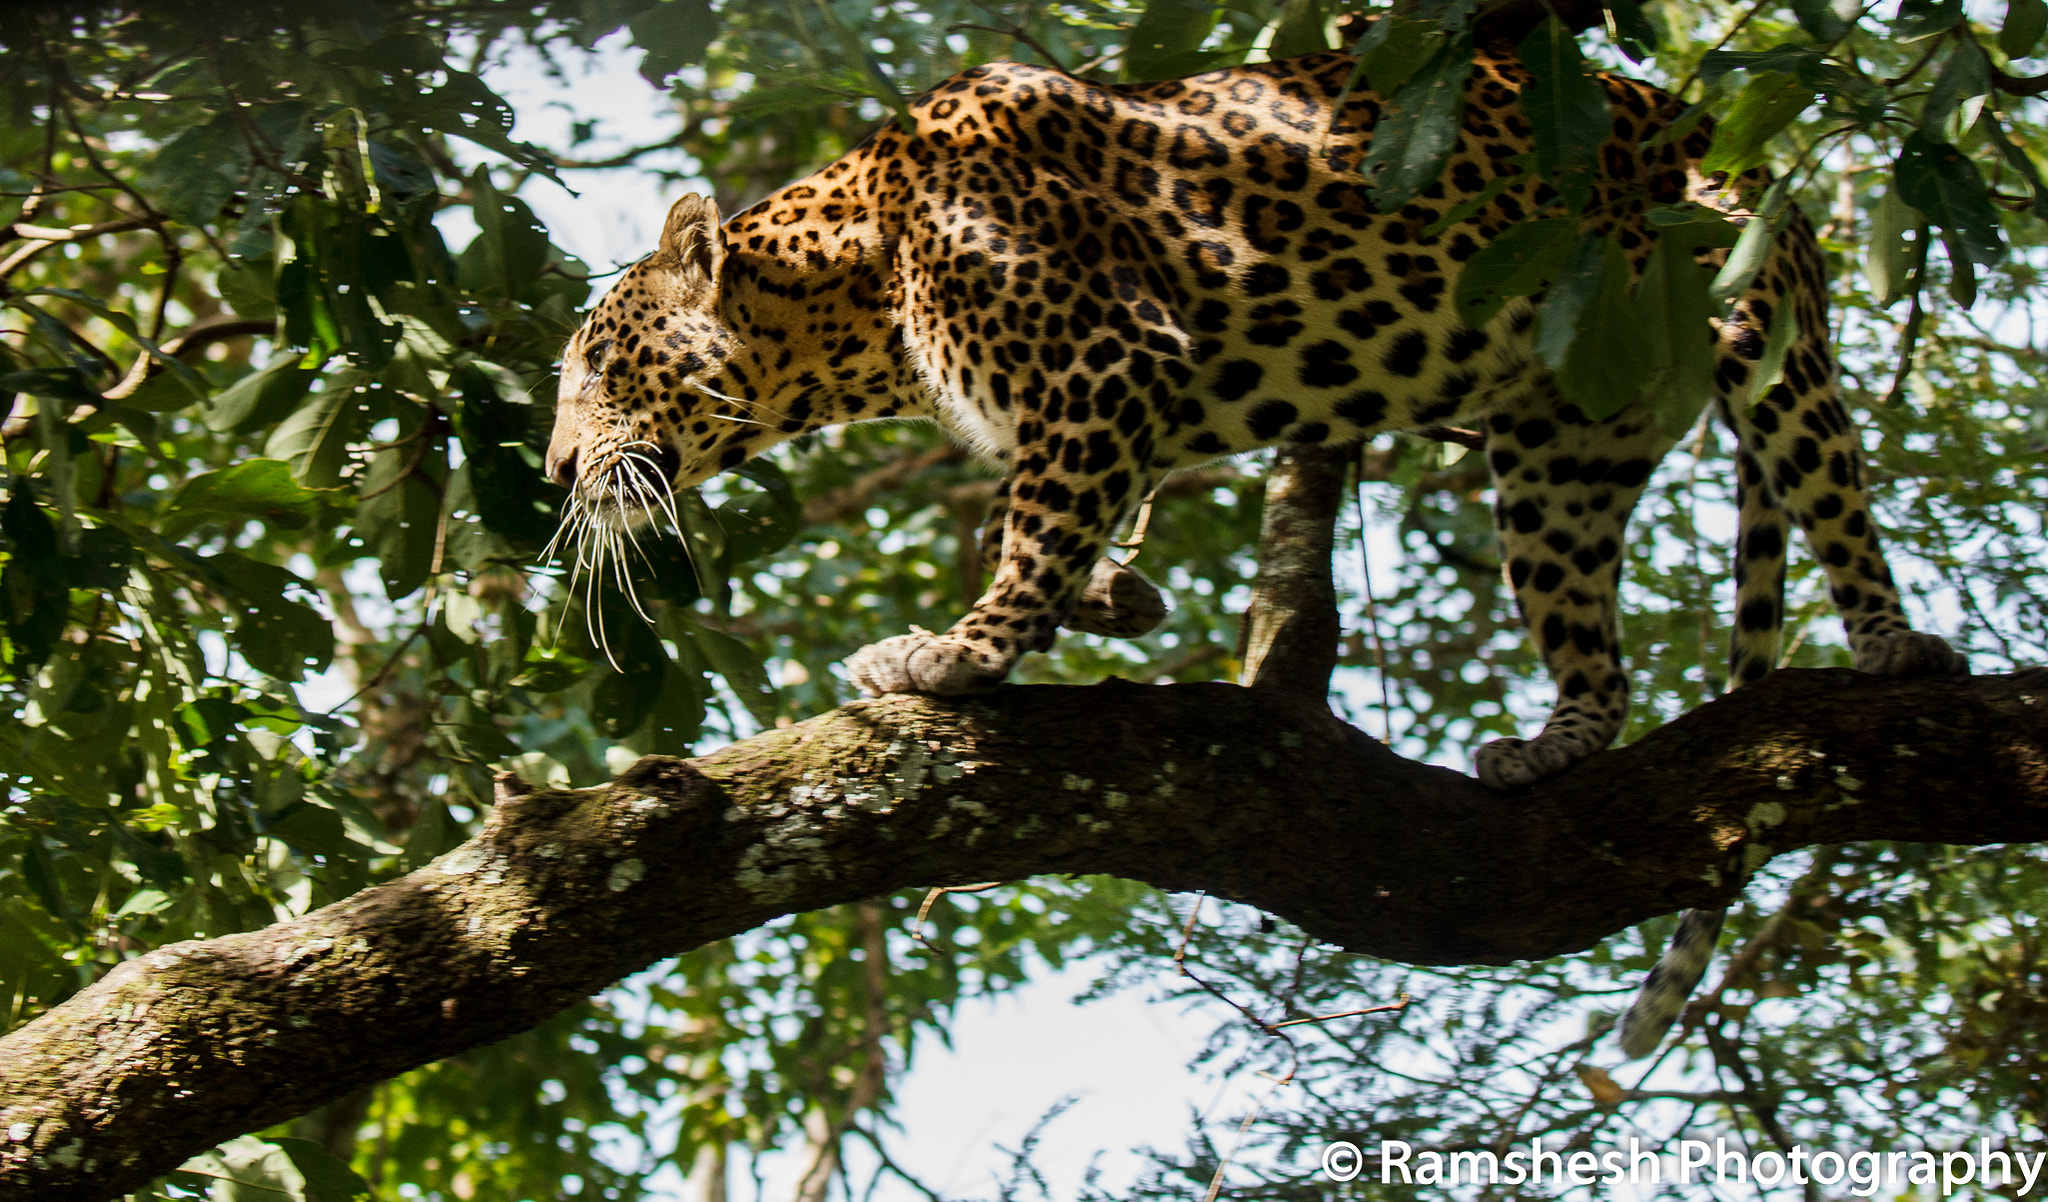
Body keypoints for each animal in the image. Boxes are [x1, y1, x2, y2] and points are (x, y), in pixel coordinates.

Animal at [544, 47, 1966, 1064]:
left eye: (598, 365)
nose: (555, 471)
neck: (856, 292)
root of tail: (1714, 132)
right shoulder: (1103, 399)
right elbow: (1059, 522)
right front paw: (1111, 598)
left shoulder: (1103, 363)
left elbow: (1031, 533)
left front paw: (960, 653)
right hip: (1559, 450)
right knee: (1593, 644)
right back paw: (1553, 742)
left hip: (1755, 332)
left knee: (1834, 494)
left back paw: (1896, 646)